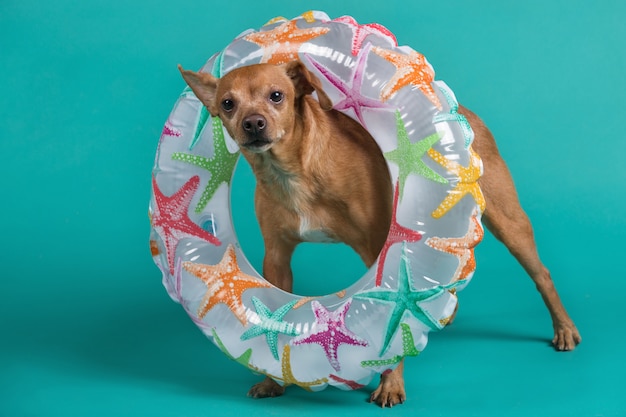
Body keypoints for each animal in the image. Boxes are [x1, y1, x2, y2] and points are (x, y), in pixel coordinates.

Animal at [177, 61, 580, 406]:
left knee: (541, 274)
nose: (253, 124)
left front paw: (391, 384)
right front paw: (270, 380)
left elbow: (391, 324)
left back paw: (564, 329)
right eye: (227, 104)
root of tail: (462, 112)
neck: (292, 172)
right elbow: (271, 319)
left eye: (277, 95)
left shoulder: (377, 251)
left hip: (509, 223)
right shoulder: (277, 259)